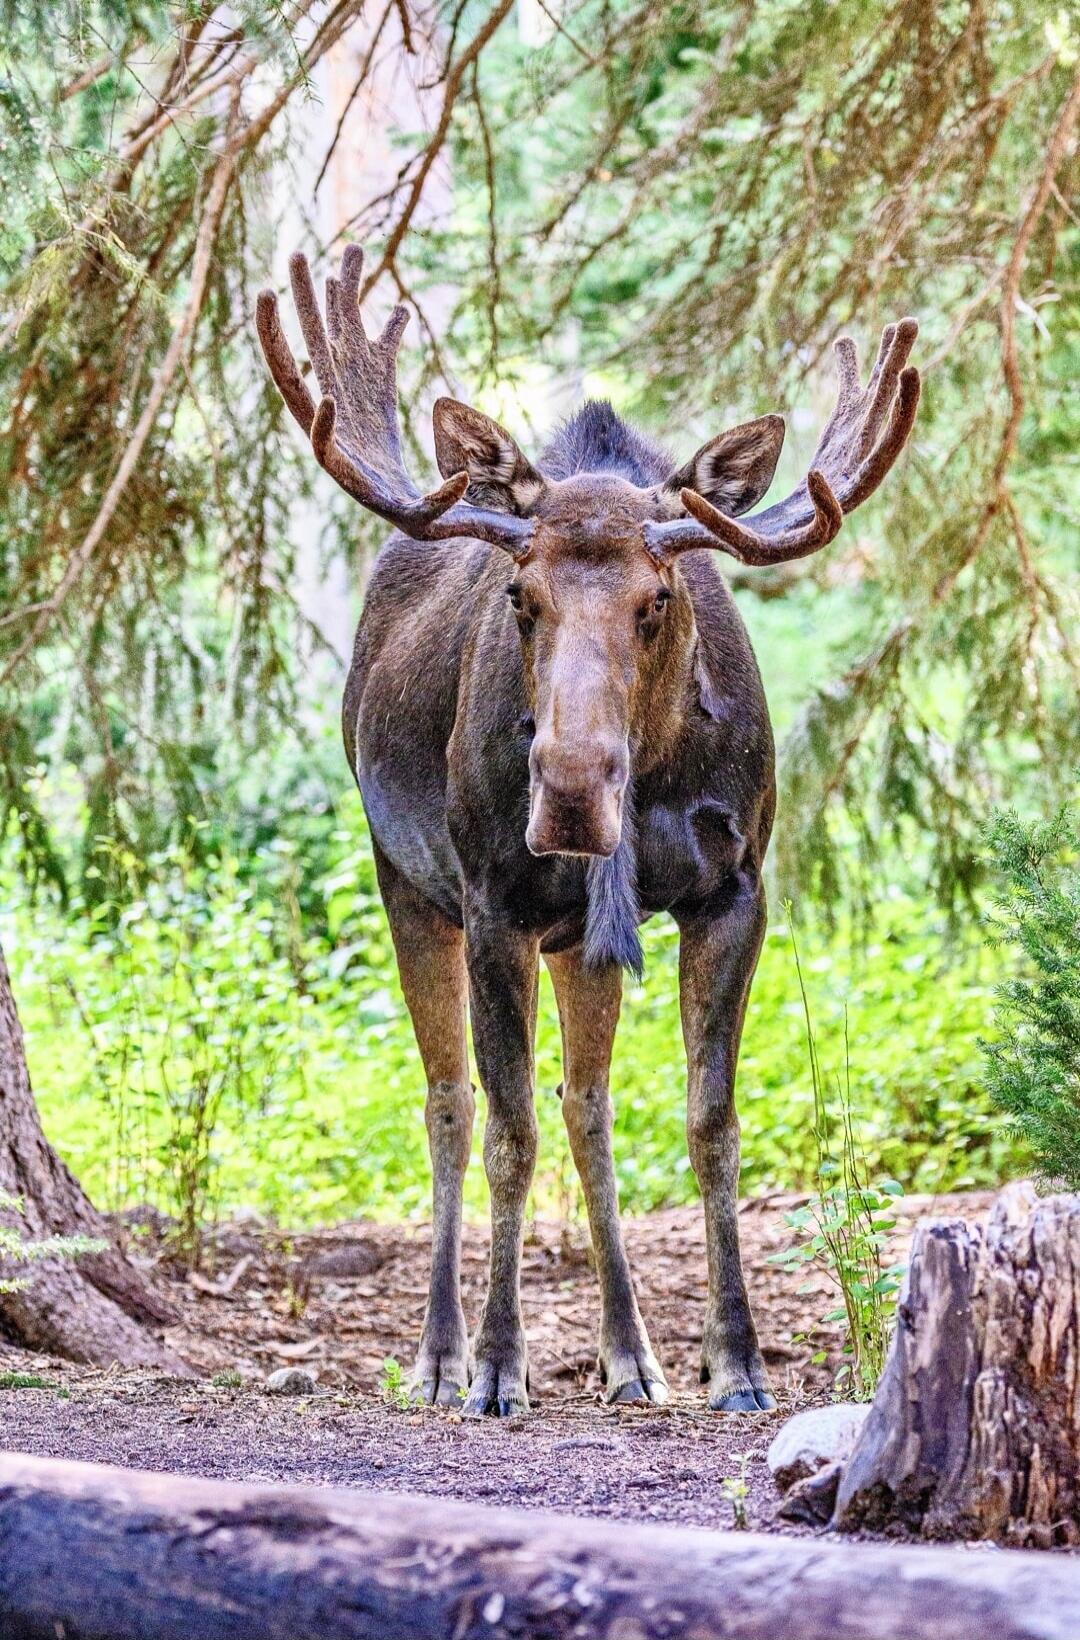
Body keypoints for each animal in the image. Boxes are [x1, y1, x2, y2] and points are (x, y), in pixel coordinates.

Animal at [256, 244, 919, 1415]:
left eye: (659, 597)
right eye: (520, 594)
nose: (568, 792)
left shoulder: (736, 889)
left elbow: (708, 1126)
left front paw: (735, 1361)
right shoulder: (494, 904)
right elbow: (506, 1129)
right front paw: (496, 1363)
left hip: (579, 940)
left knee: (591, 1107)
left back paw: (630, 1353)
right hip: (406, 881)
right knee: (450, 1105)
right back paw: (439, 1353)